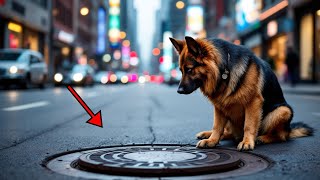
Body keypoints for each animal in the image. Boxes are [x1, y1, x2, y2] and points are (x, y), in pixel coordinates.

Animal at [170, 36, 312, 150]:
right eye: (181, 70)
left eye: (189, 70)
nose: (178, 91)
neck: (224, 69)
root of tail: (289, 130)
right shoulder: (219, 107)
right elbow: (217, 126)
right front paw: (212, 140)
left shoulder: (253, 103)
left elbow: (248, 125)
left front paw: (247, 142)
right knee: (228, 133)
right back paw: (207, 134)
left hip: (283, 110)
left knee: (280, 136)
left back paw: (262, 138)